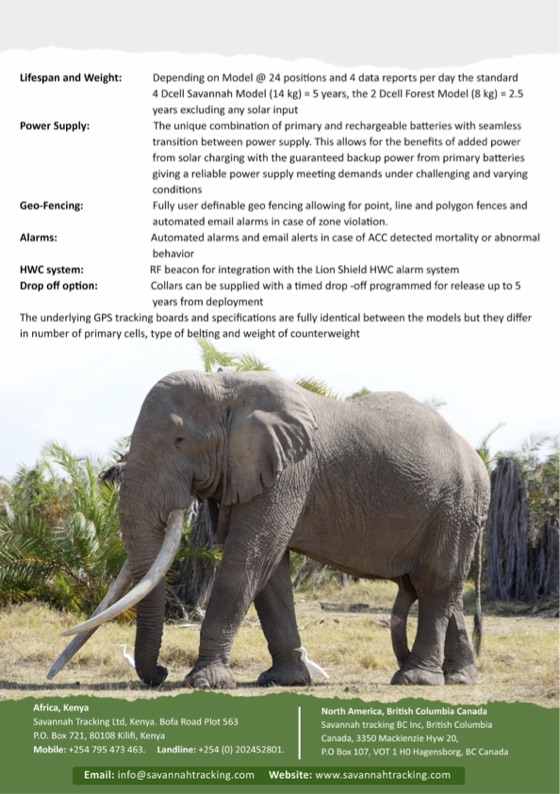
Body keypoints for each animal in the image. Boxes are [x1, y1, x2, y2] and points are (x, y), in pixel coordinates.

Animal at [50, 369, 490, 688]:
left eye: (180, 440)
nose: (159, 674)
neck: (227, 388)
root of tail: (479, 461)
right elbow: (270, 571)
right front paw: (283, 681)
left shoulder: (288, 472)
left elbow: (248, 558)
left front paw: (205, 682)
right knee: (442, 589)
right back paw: (459, 678)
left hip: (456, 506)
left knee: (435, 582)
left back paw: (416, 680)